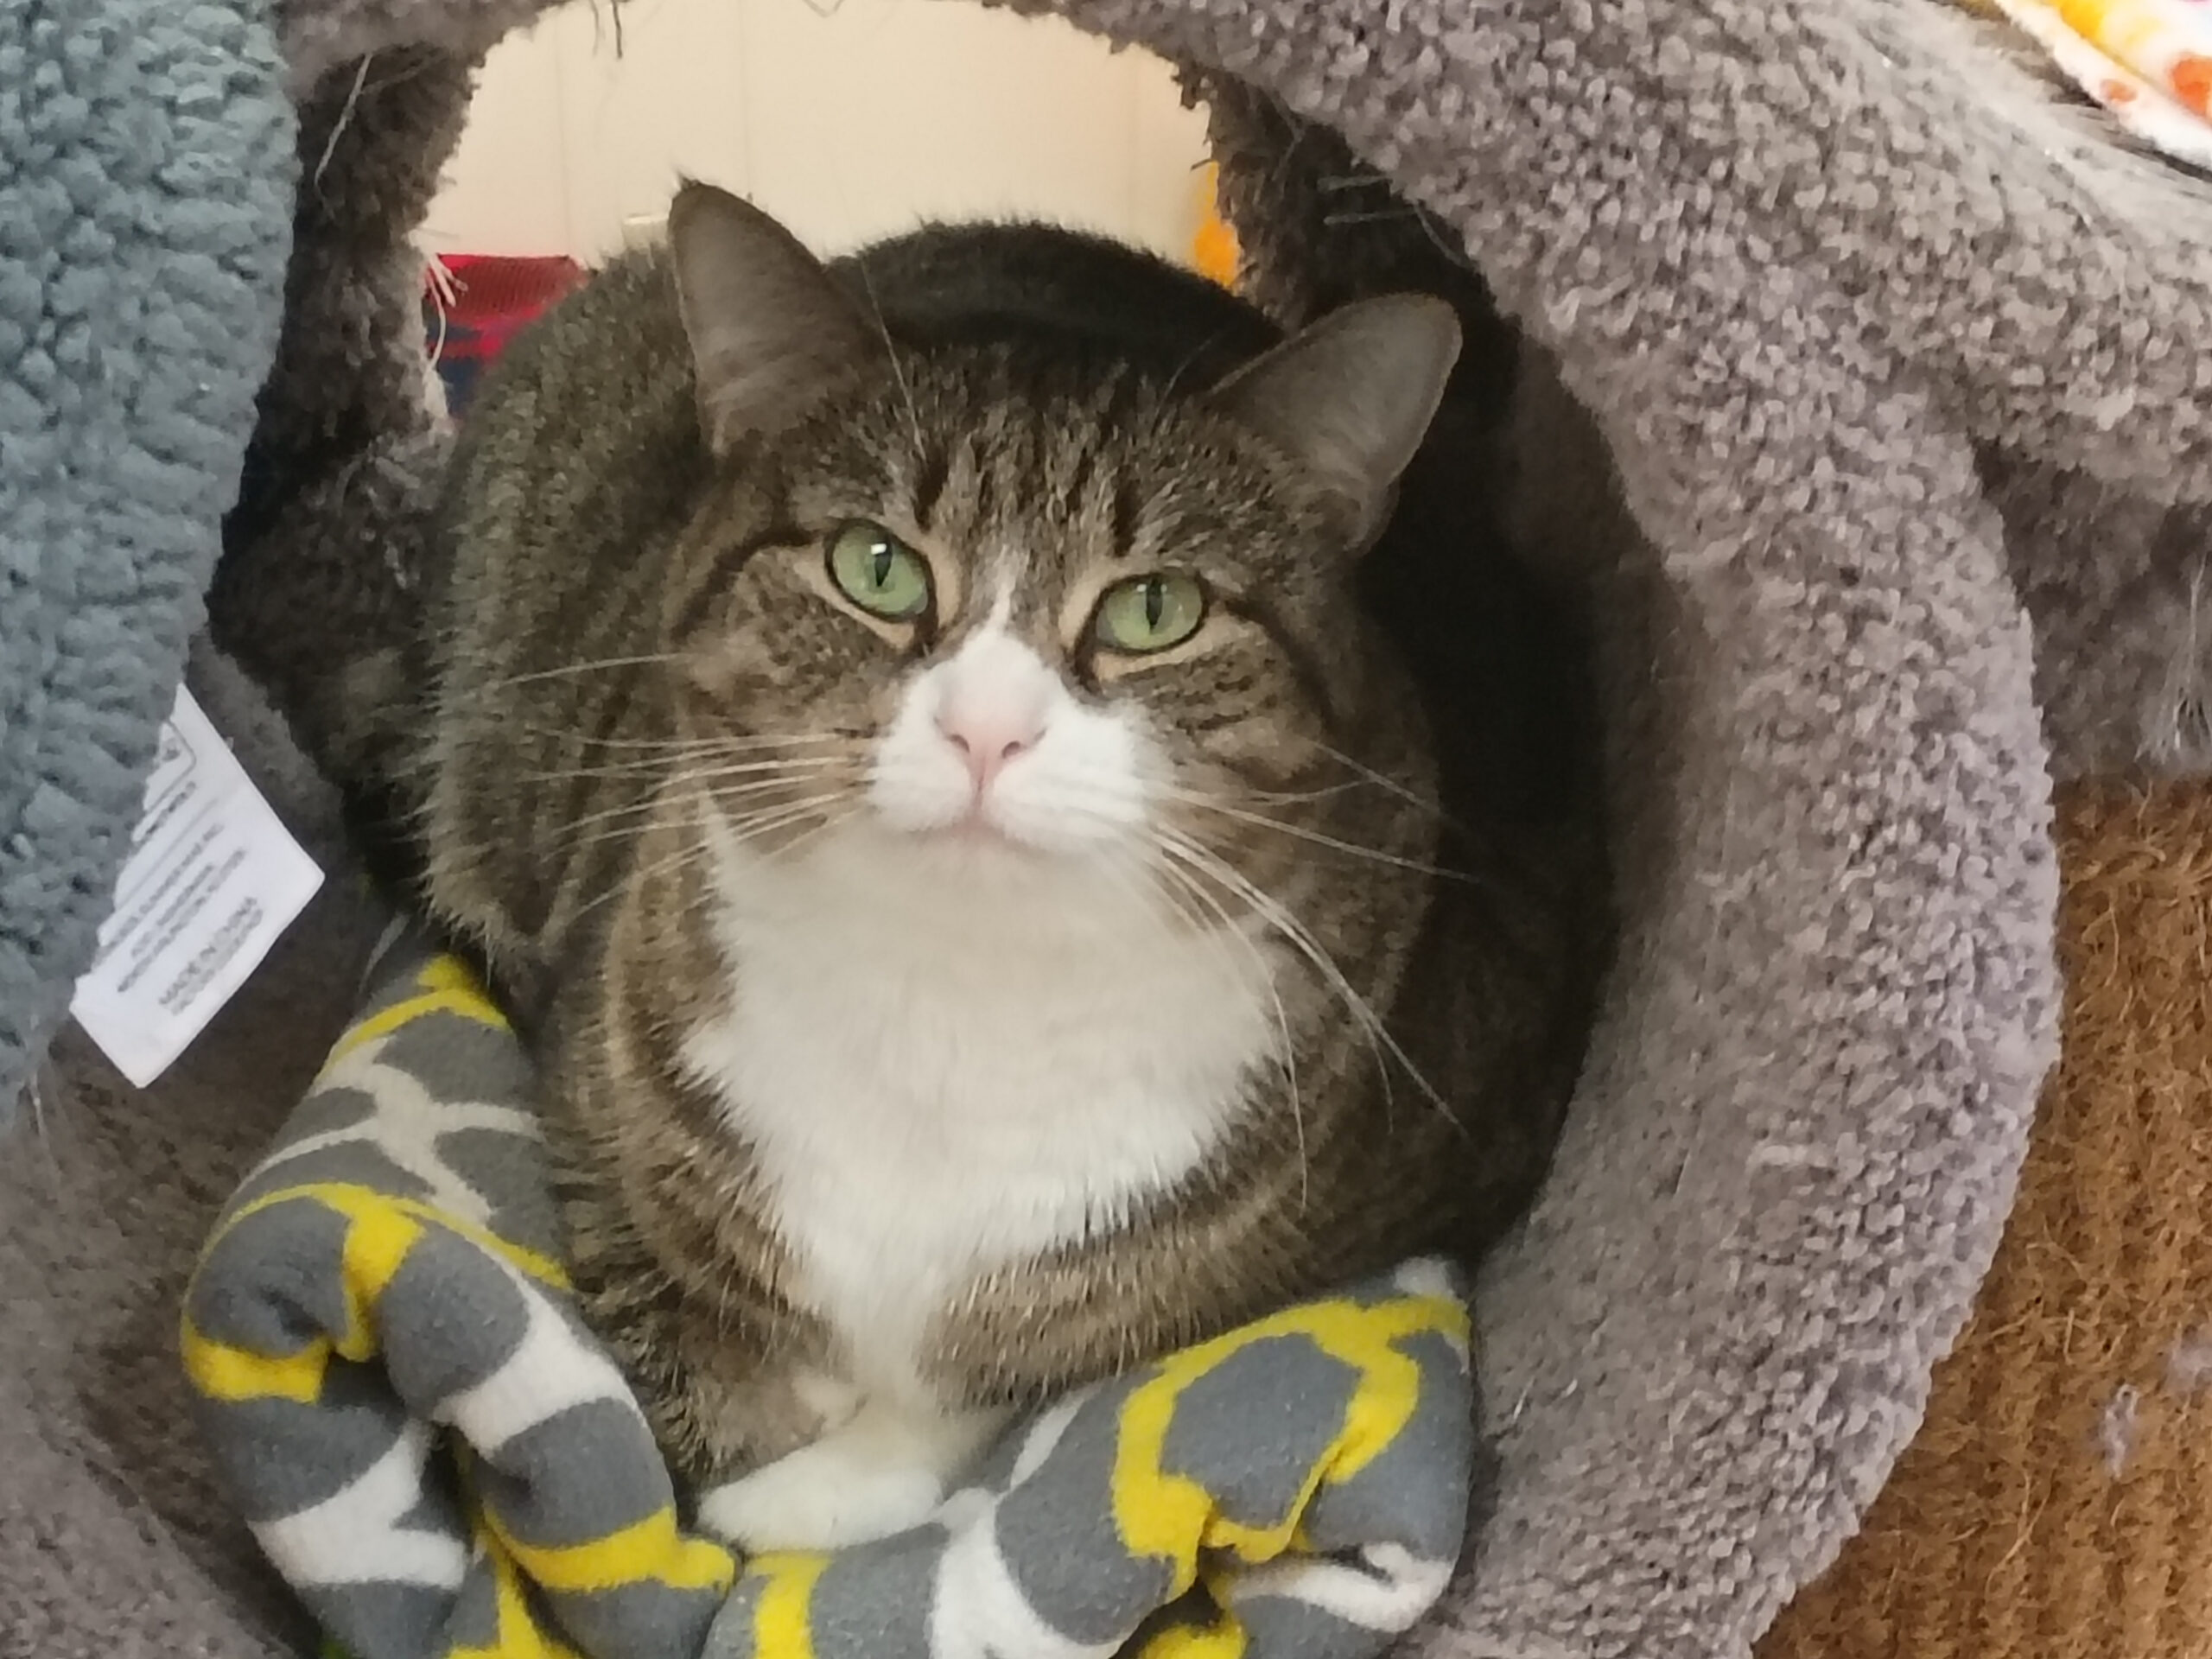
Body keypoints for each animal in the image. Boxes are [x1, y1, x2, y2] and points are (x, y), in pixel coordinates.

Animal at [407, 180, 1597, 1553]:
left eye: (1156, 609)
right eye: (874, 566)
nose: (986, 730)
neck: (954, 1001)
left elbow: (1004, 1369)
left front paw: (821, 1486)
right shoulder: (591, 1086)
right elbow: (674, 1357)